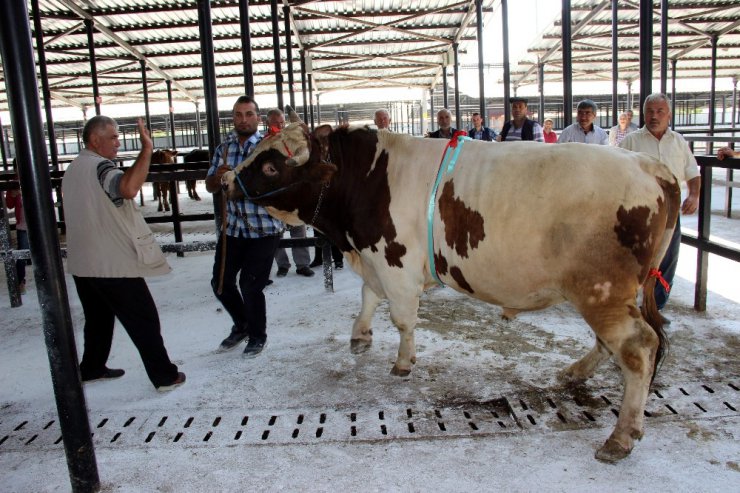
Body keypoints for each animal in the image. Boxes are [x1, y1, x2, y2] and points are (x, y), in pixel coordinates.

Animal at [221, 108, 684, 462]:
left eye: (270, 165)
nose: (223, 181)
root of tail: (653, 168)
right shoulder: (374, 261)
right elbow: (368, 298)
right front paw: (360, 337)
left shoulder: (395, 262)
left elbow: (402, 318)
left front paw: (403, 361)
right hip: (606, 292)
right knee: (614, 343)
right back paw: (576, 373)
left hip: (601, 289)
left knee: (638, 347)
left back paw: (620, 436)